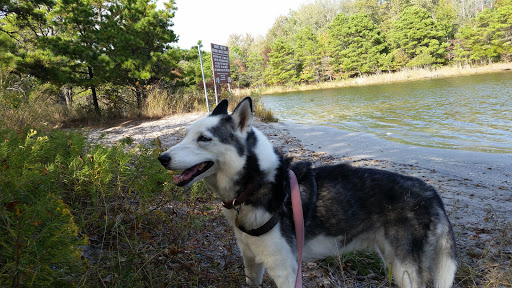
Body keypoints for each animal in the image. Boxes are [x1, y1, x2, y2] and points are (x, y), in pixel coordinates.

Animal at [159, 98, 456, 286]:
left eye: (204, 139)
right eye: (186, 135)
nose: (162, 158)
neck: (258, 183)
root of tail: (432, 192)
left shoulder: (284, 270)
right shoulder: (252, 263)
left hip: (406, 269)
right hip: (395, 264)